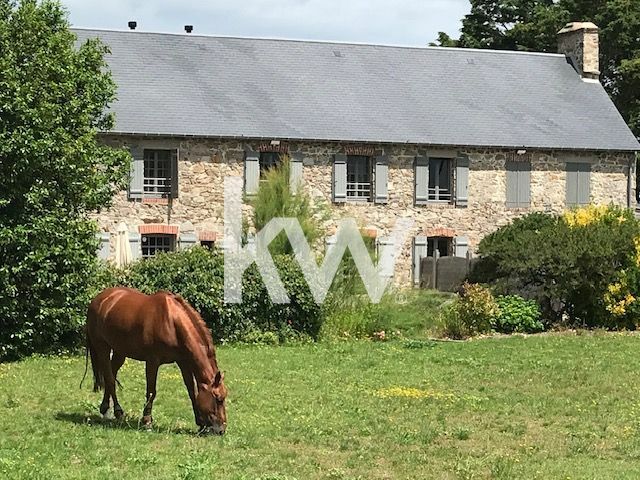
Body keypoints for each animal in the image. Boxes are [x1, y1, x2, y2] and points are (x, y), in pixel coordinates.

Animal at [85, 288, 228, 436]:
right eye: (218, 399)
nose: (221, 430)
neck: (171, 322)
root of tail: (99, 299)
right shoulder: (152, 361)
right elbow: (151, 391)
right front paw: (147, 421)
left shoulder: (183, 362)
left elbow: (191, 391)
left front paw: (200, 423)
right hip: (102, 348)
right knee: (110, 379)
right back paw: (118, 412)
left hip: (120, 352)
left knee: (111, 375)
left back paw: (105, 408)